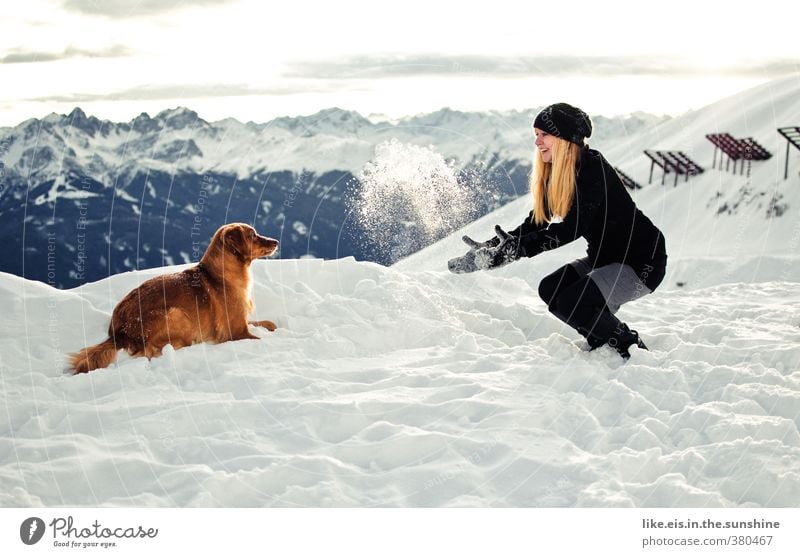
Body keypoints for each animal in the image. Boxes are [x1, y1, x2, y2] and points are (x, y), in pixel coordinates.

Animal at [69, 222, 282, 374]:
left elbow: (268, 323)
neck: (221, 275)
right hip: (177, 314)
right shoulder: (236, 331)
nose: (276, 241)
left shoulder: (242, 321)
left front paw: (272, 326)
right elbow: (257, 338)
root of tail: (118, 332)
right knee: (155, 350)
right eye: (252, 235)